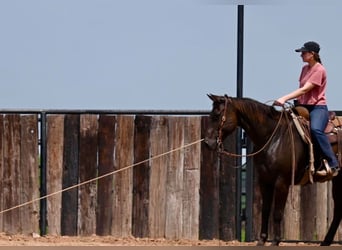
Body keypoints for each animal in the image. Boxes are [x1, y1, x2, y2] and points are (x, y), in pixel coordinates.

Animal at [204, 93, 340, 245]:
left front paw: (275, 241)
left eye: (217, 115)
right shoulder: (265, 181)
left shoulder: (282, 182)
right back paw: (326, 242)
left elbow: (277, 213)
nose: (207, 142)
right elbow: (265, 210)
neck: (274, 137)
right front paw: (262, 240)